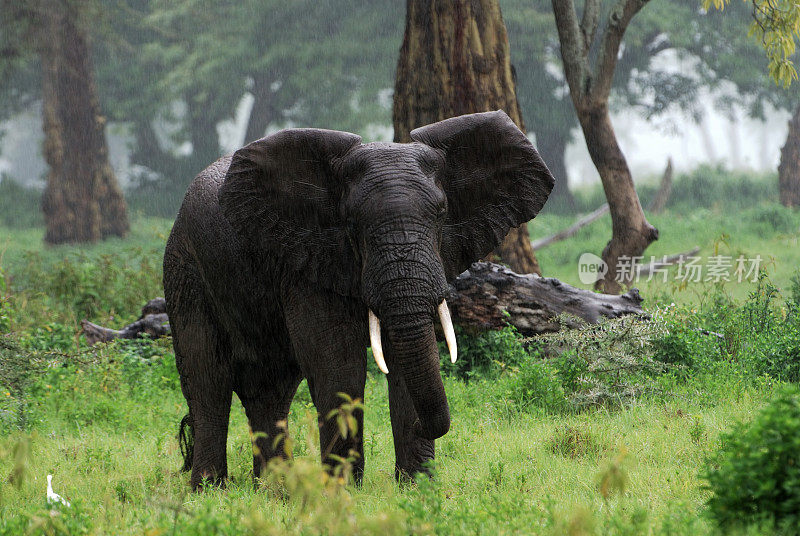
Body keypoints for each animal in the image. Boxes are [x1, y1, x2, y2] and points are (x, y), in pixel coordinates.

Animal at [161, 110, 552, 490]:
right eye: (351, 222)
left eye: (441, 214)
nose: (430, 428)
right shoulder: (307, 260)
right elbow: (338, 364)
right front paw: (344, 489)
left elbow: (402, 363)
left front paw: (417, 489)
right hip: (185, 269)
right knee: (208, 378)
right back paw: (210, 490)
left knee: (270, 388)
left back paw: (273, 490)